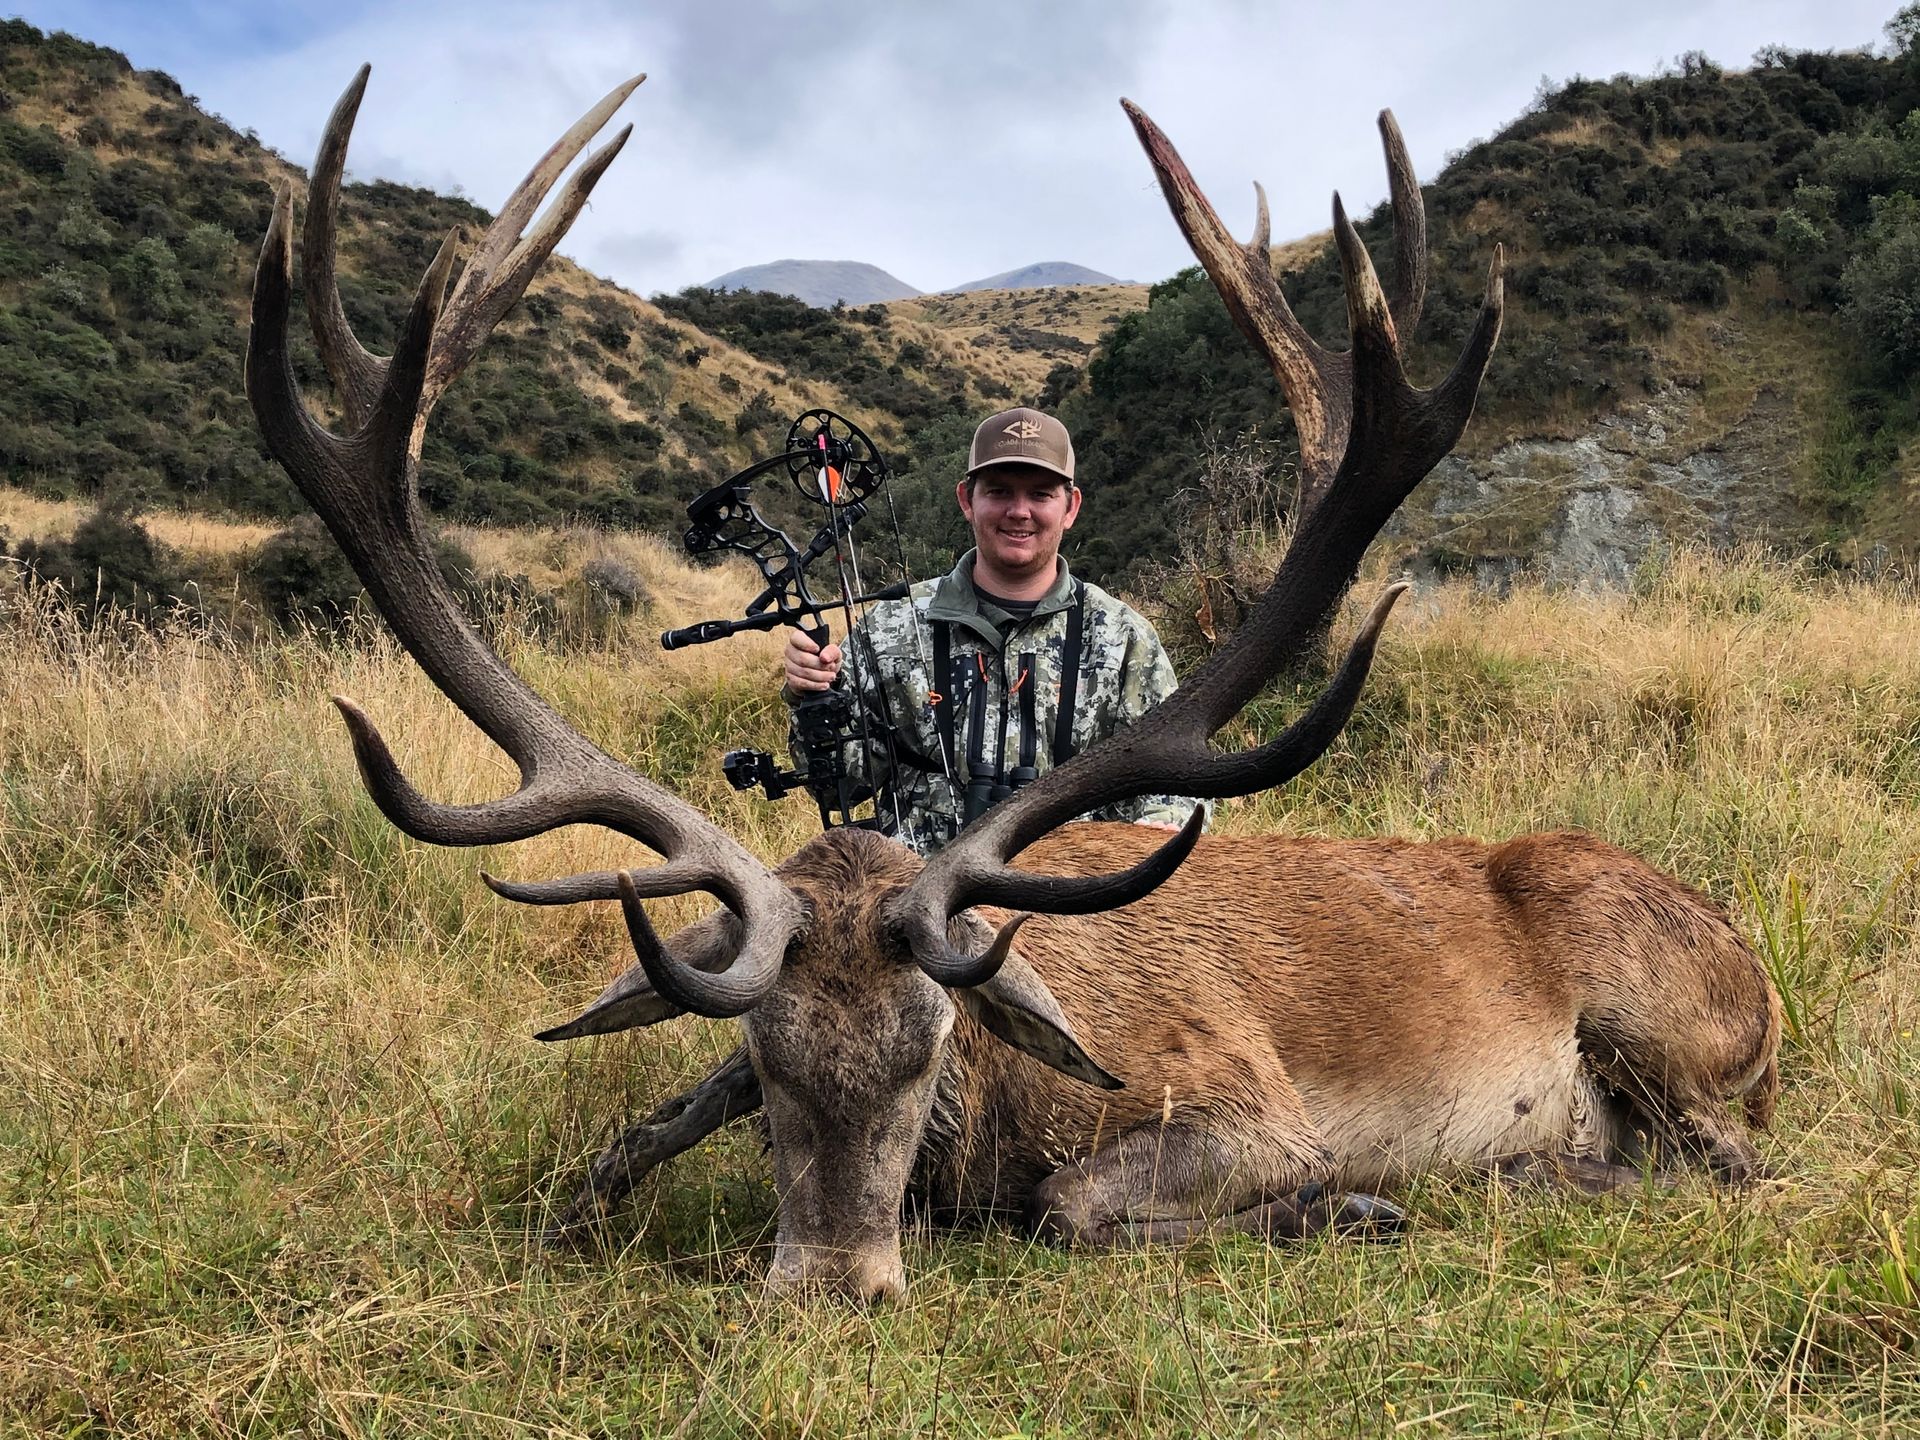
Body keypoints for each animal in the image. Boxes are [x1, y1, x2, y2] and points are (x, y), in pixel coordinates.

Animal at [245, 67, 1781, 1303]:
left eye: (932, 1051)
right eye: (765, 1062)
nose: (834, 1284)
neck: (999, 1111)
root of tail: (1746, 954)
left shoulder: (1251, 1101)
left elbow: (1076, 1205)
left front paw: (1348, 1207)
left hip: (1660, 1021)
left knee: (1729, 1166)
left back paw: (1524, 1173)